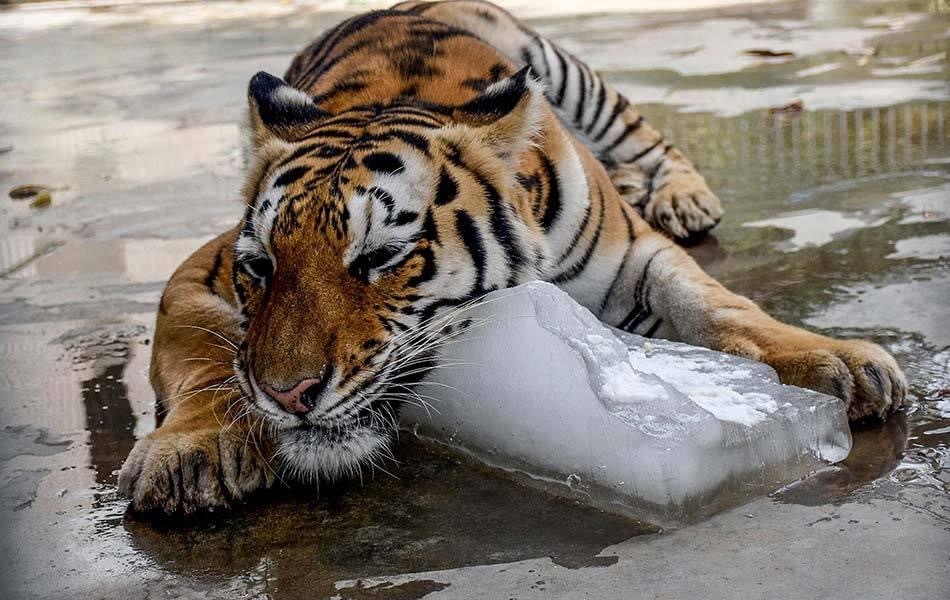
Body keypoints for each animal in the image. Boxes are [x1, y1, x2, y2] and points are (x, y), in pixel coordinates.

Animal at [118, 0, 907, 515]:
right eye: (261, 267)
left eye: (380, 256)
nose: (286, 396)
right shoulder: (197, 270)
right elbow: (205, 355)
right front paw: (190, 451)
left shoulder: (635, 259)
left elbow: (716, 302)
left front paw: (837, 361)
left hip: (574, 74)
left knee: (653, 138)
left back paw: (682, 195)